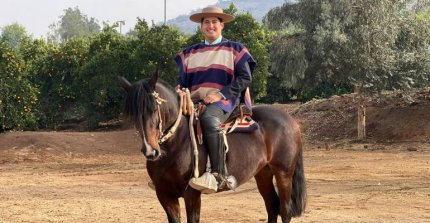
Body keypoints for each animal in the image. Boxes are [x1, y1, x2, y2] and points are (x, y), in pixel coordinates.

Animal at [117, 72, 306, 223]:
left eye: (154, 108)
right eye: (133, 114)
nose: (150, 151)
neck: (176, 144)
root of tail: (291, 120)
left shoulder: (192, 195)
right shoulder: (165, 195)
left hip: (283, 174)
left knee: (285, 210)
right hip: (263, 173)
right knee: (272, 206)